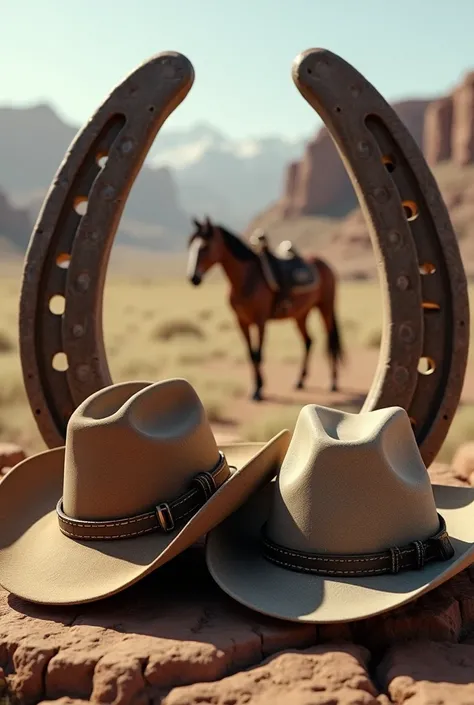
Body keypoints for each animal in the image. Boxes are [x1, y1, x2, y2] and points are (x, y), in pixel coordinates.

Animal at [186, 214, 344, 402]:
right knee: (308, 342)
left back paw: (333, 382)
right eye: (190, 244)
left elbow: (258, 353)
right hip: (300, 315)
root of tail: (325, 264)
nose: (193, 278)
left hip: (325, 308)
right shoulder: (242, 322)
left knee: (331, 341)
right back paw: (300, 381)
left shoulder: (260, 321)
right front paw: (256, 386)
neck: (247, 279)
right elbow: (250, 354)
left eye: (205, 246)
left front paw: (259, 389)